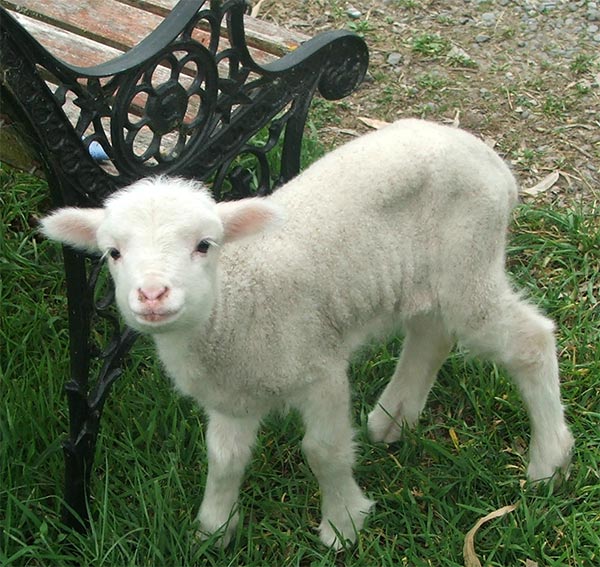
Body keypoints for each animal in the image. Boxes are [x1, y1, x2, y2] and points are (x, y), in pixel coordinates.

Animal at [39, 120, 576, 552]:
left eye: (205, 245)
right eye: (112, 253)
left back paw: (549, 462)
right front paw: (214, 529)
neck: (233, 305)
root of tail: (492, 161)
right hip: (431, 277)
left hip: (469, 259)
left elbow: (323, 450)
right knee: (432, 332)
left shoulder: (318, 369)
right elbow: (224, 458)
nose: (152, 294)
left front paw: (343, 525)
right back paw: (393, 418)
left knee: (530, 341)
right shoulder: (232, 396)